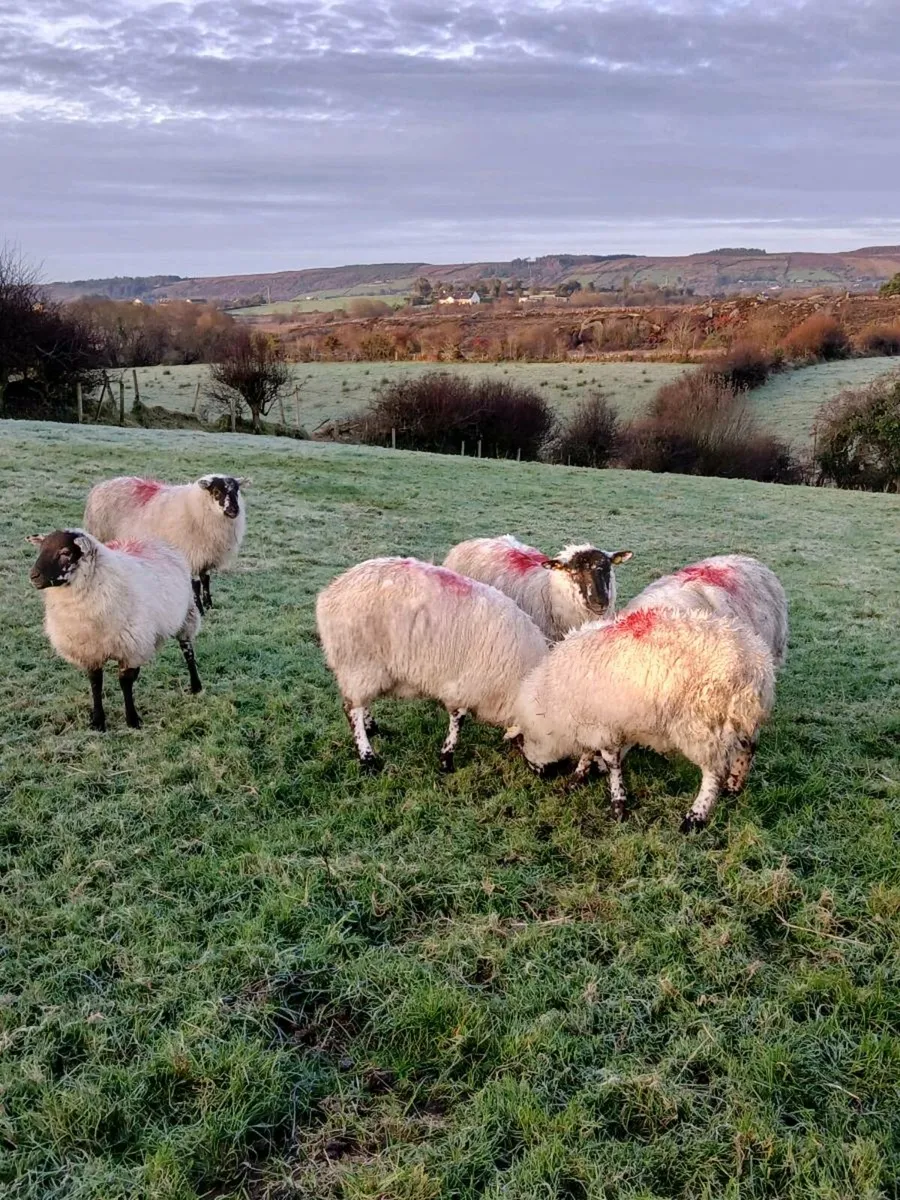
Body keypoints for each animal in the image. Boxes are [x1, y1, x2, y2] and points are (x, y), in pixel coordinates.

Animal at [27, 529, 202, 731]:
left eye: (65, 552)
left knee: (188, 651)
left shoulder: (130, 647)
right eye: (41, 548)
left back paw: (196, 686)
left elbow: (125, 683)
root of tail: (150, 539)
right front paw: (98, 721)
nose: (33, 576)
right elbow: (96, 683)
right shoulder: (91, 651)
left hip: (186, 615)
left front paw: (132, 720)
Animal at [83, 474, 250, 613]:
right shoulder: (190, 554)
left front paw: (209, 605)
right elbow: (195, 585)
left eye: (236, 491)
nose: (234, 510)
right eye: (216, 491)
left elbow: (206, 581)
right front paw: (199, 609)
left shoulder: (205, 555)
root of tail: (101, 486)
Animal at [316, 556, 549, 771]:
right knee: (351, 709)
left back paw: (372, 728)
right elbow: (457, 721)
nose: (548, 775)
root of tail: (330, 592)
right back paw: (368, 758)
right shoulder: (465, 685)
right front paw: (446, 761)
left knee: (361, 702)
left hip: (364, 668)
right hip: (358, 661)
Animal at [509, 607, 775, 831]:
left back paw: (694, 818)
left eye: (521, 744)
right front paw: (578, 777)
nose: (538, 775)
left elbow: (612, 762)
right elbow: (588, 752)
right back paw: (734, 787)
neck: (549, 707)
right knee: (748, 749)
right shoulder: (594, 723)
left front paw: (618, 803)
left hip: (703, 724)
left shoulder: (601, 725)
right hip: (742, 719)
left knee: (714, 773)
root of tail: (755, 665)